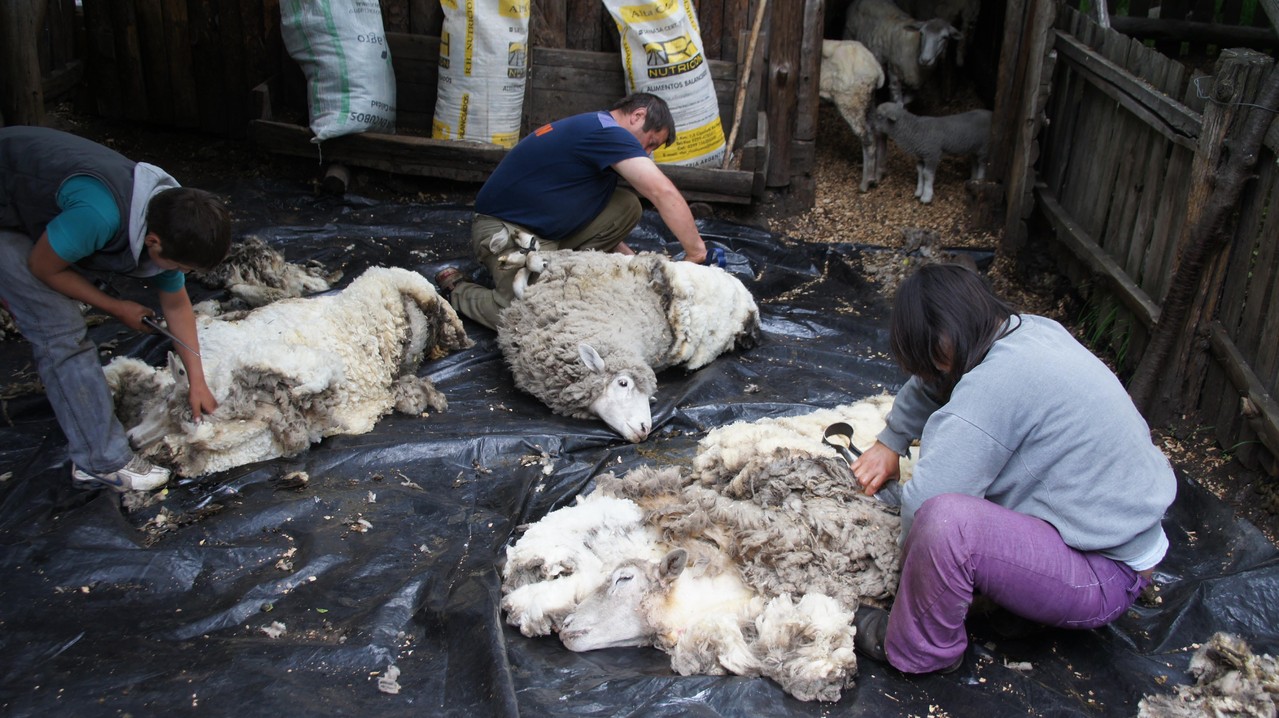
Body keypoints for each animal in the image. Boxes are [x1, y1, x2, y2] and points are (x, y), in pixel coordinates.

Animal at [823, 38, 885, 190]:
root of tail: (877, 70)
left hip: (852, 102)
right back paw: (878, 175)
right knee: (879, 132)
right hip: (868, 101)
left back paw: (865, 183)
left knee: (868, 138)